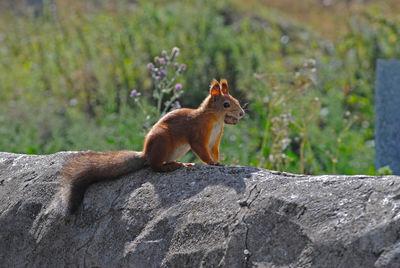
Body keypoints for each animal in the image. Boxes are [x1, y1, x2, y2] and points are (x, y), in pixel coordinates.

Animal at [61, 78, 245, 214]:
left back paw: (182, 164)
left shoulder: (215, 140)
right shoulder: (197, 135)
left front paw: (219, 162)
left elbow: (214, 152)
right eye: (226, 104)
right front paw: (212, 163)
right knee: (154, 166)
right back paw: (169, 167)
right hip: (162, 142)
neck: (215, 121)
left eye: (236, 100)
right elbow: (202, 152)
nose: (242, 113)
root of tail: (146, 153)